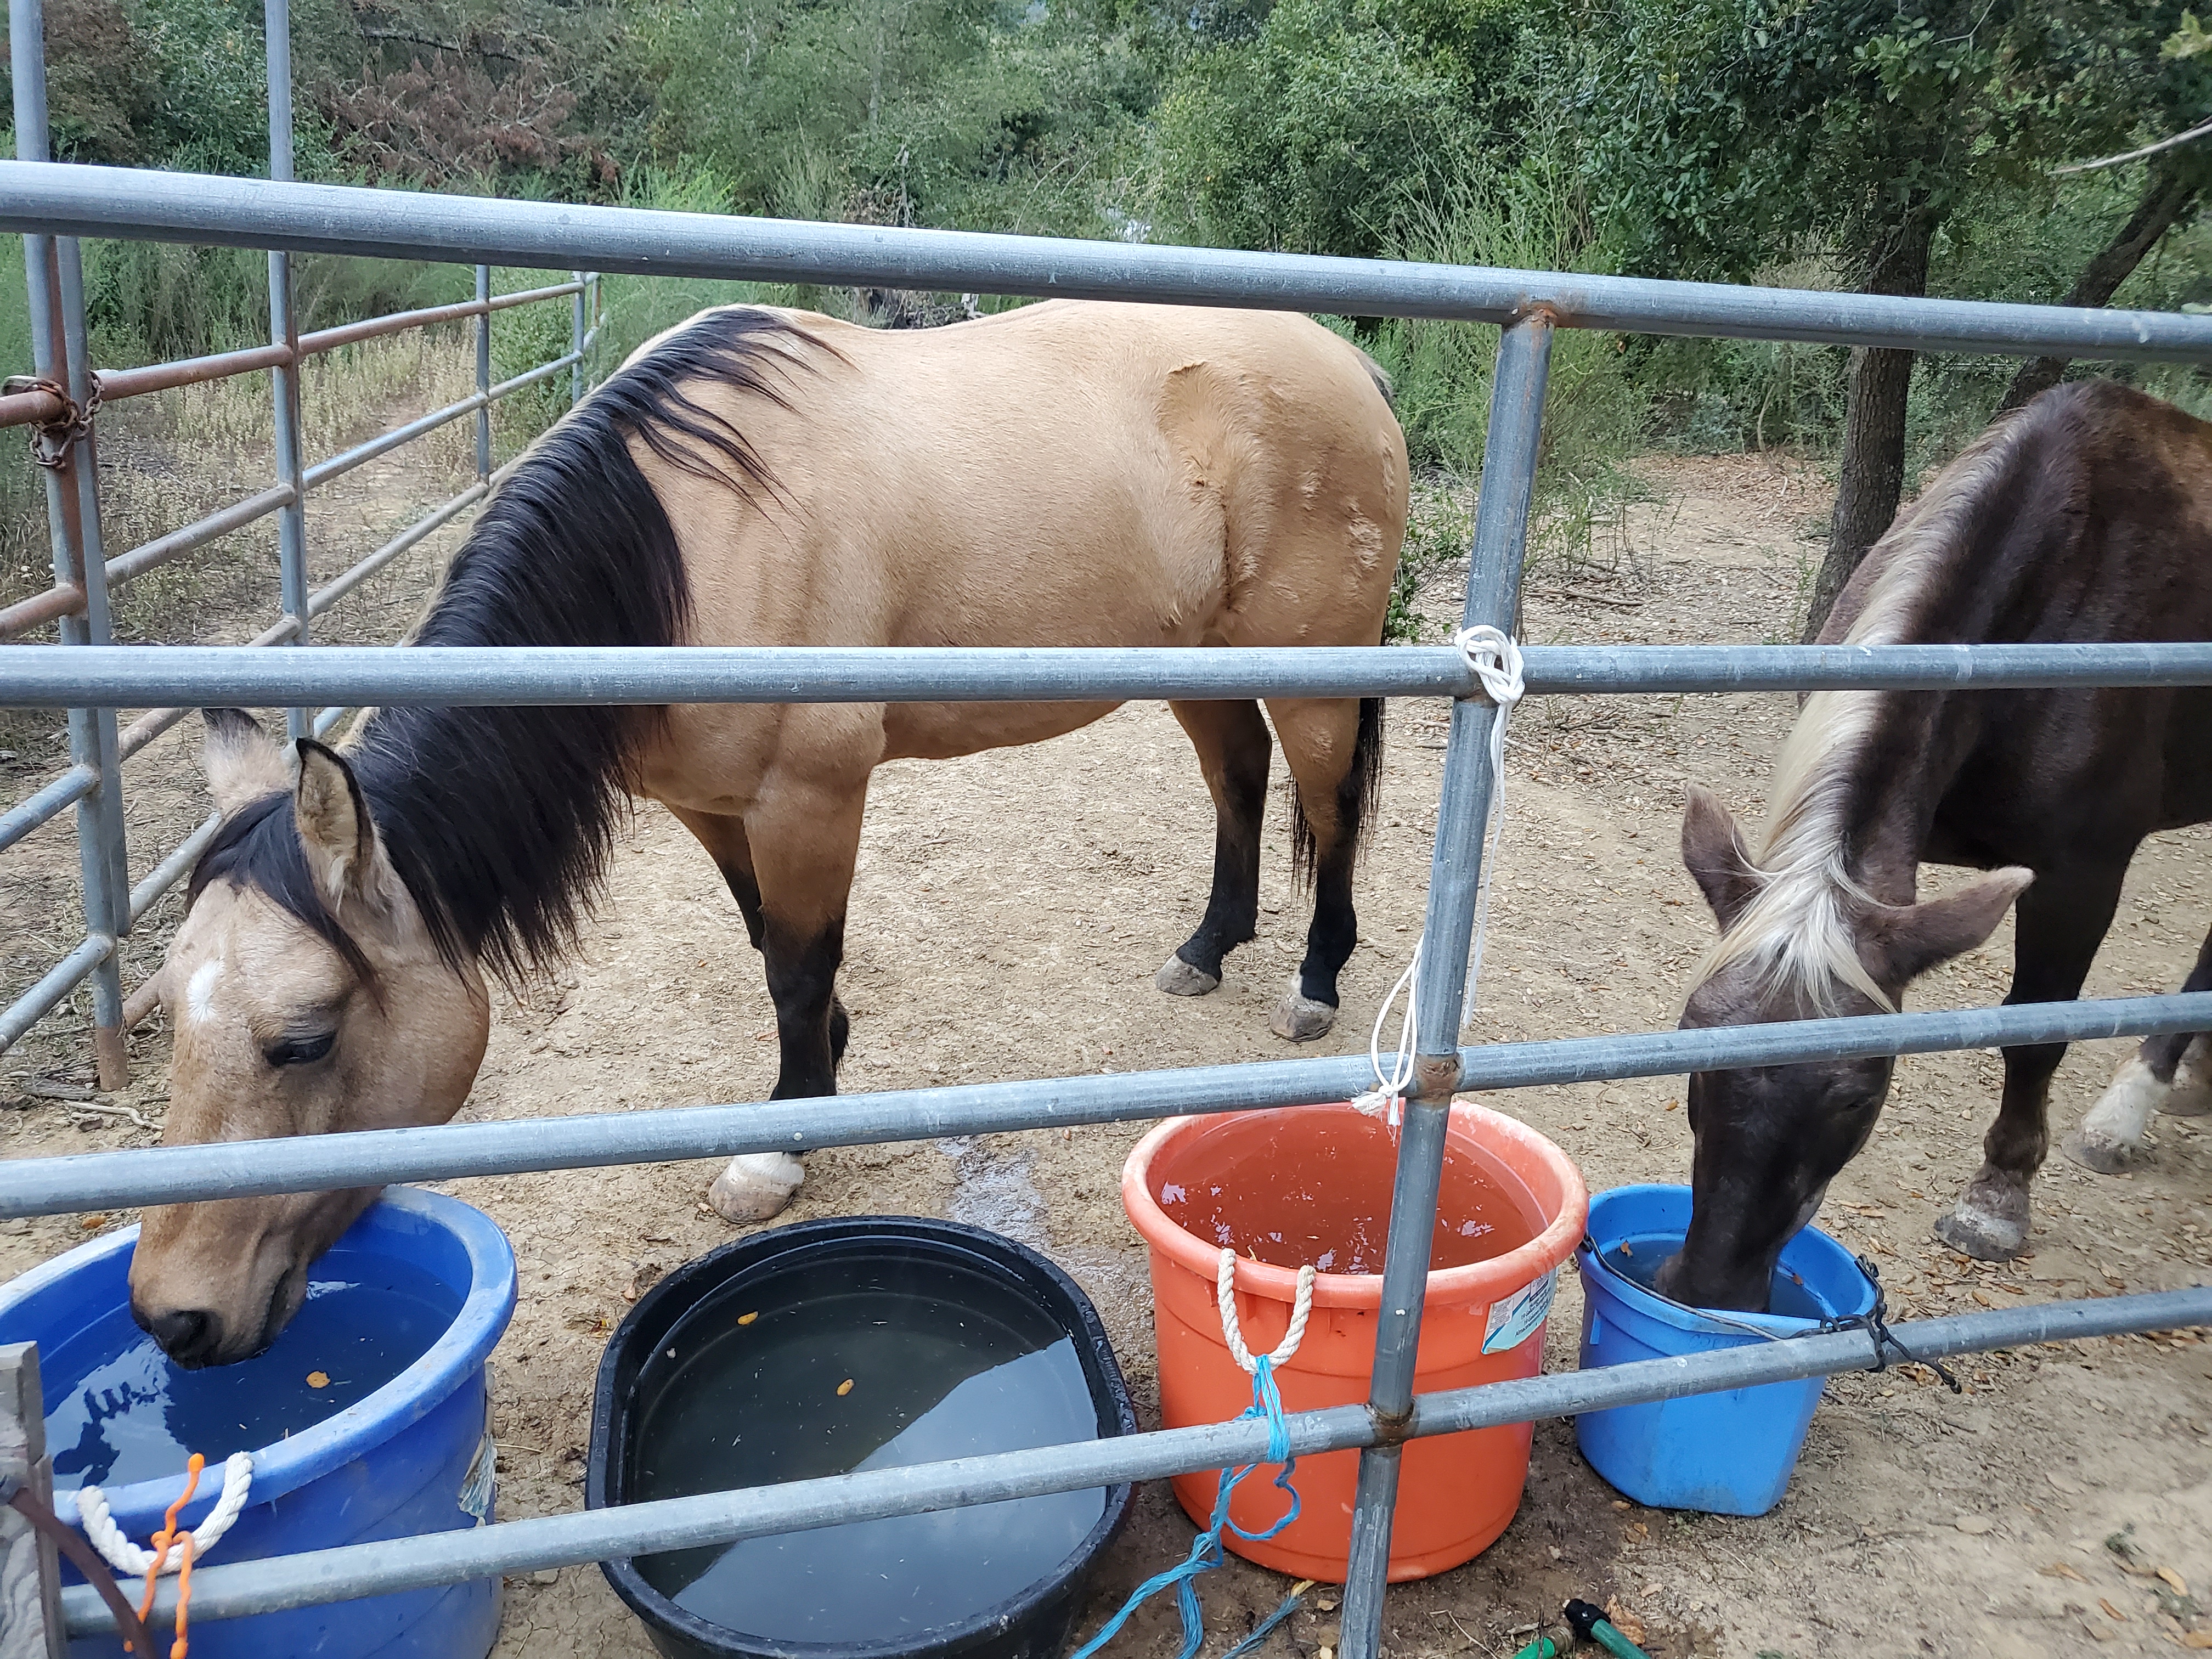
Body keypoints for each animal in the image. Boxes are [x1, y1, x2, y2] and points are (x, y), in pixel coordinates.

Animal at [127, 300, 1408, 1366]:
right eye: (175, 1014)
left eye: (303, 1039)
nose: (173, 1316)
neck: (679, 546)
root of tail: (1350, 365)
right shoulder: (712, 803)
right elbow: (768, 944)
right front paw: (824, 1062)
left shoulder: (811, 793)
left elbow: (798, 960)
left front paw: (779, 1146)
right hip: (1199, 662)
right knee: (1235, 781)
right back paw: (1207, 948)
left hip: (1312, 676)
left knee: (1329, 810)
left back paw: (1314, 980)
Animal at [1658, 379, 2212, 1313]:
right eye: (1694, 1051)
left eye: (1859, 1096)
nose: (1710, 1289)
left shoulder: (2082, 873)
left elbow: (2036, 1032)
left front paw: (1997, 1201)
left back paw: (2129, 1110)